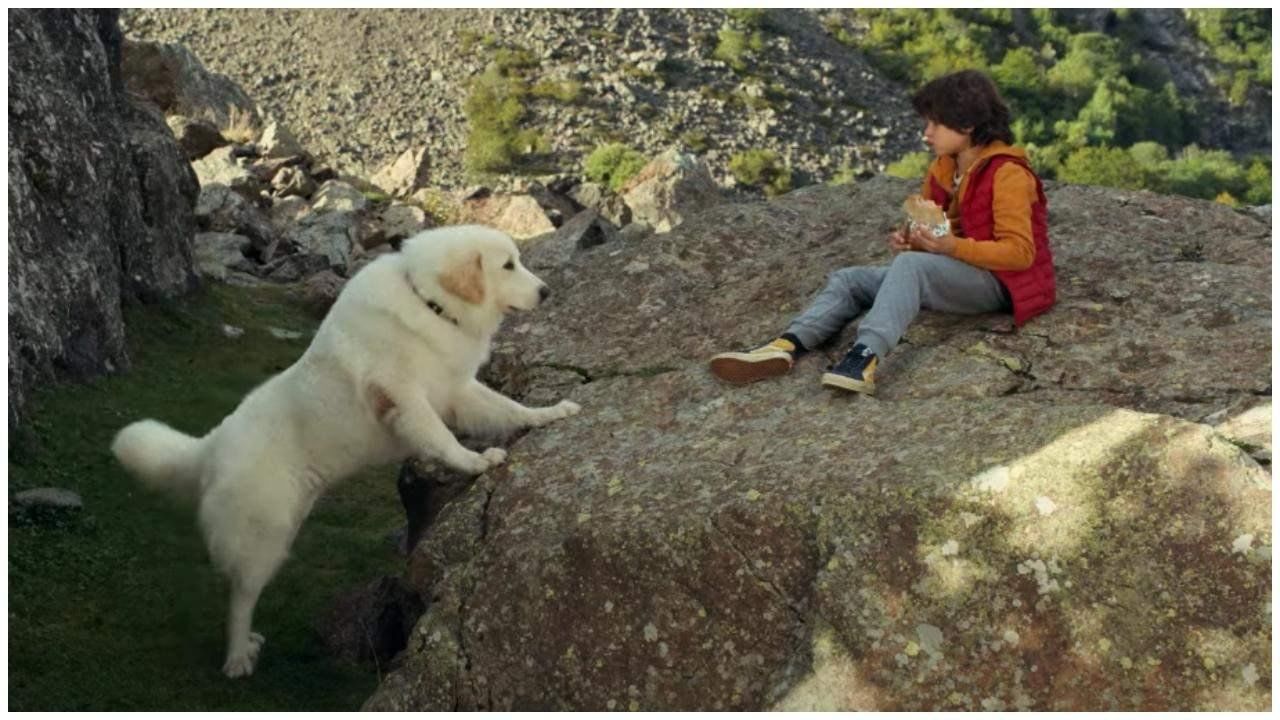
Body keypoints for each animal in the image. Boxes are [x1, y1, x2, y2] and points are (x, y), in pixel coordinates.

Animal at [110, 225, 581, 676]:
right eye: (508, 265)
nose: (547, 292)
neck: (429, 302)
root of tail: (211, 445)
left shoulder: (456, 391)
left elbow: (508, 408)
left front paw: (549, 414)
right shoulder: (406, 400)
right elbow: (441, 438)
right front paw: (475, 462)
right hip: (264, 538)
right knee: (240, 598)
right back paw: (237, 656)